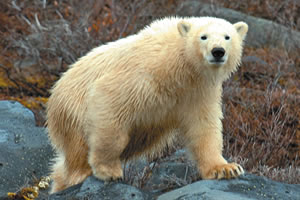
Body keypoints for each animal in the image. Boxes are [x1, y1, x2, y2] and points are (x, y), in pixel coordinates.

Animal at [47, 16, 248, 193]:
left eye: (227, 37)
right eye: (203, 36)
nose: (218, 51)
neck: (181, 67)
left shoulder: (198, 92)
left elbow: (204, 127)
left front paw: (226, 168)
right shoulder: (145, 72)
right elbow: (109, 100)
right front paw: (108, 170)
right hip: (72, 110)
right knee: (77, 150)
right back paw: (78, 175)